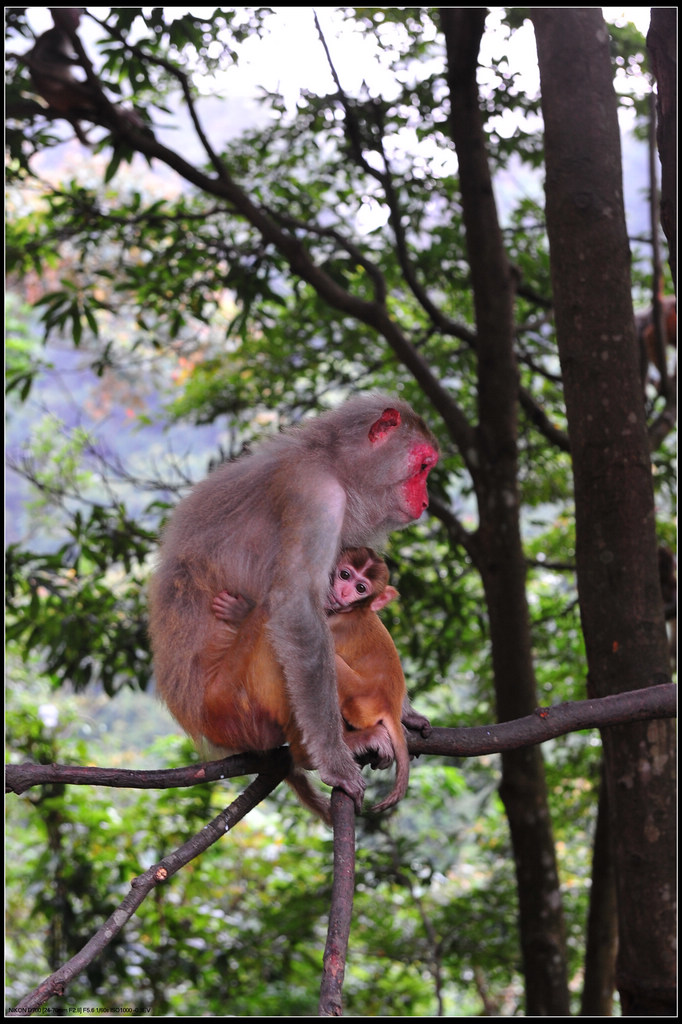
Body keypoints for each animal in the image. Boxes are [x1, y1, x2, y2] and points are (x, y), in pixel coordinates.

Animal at [209, 548, 428, 819]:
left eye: (361, 588)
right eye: (345, 575)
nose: (343, 593)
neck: (353, 611)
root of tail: (390, 706)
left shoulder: (331, 625)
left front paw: (240, 612)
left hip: (360, 699)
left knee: (319, 663)